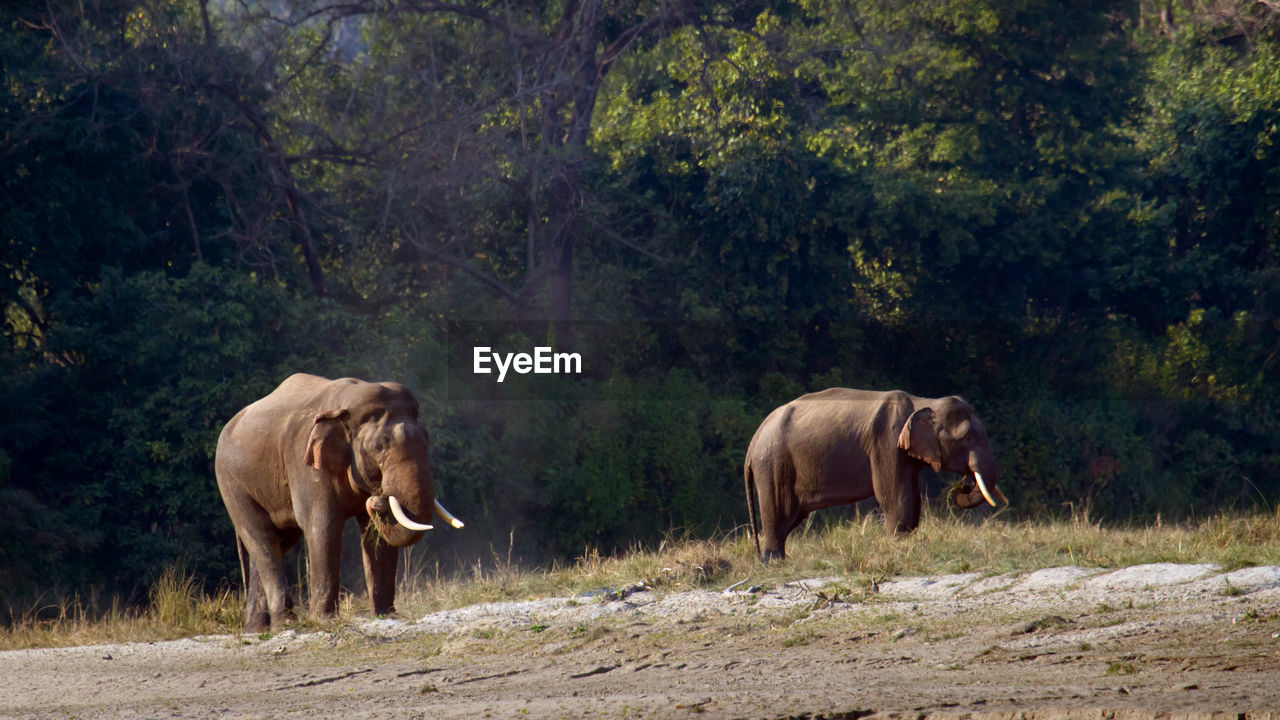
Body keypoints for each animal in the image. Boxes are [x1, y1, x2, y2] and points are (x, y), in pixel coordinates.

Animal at [215, 371, 465, 630]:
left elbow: (375, 535)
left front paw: (387, 616)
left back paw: (258, 629)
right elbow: (323, 525)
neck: (346, 409)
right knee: (260, 537)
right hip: (230, 481)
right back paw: (285, 624)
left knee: (275, 541)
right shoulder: (305, 463)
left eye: (427, 441)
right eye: (379, 447)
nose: (378, 499)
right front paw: (324, 619)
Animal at [742, 386, 1008, 561]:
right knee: (779, 512)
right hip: (773, 465)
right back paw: (774, 562)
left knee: (790, 517)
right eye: (967, 437)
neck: (922, 402)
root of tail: (754, 440)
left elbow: (913, 497)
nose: (963, 485)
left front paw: (905, 544)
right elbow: (895, 495)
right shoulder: (886, 443)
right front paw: (896, 545)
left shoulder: (903, 452)